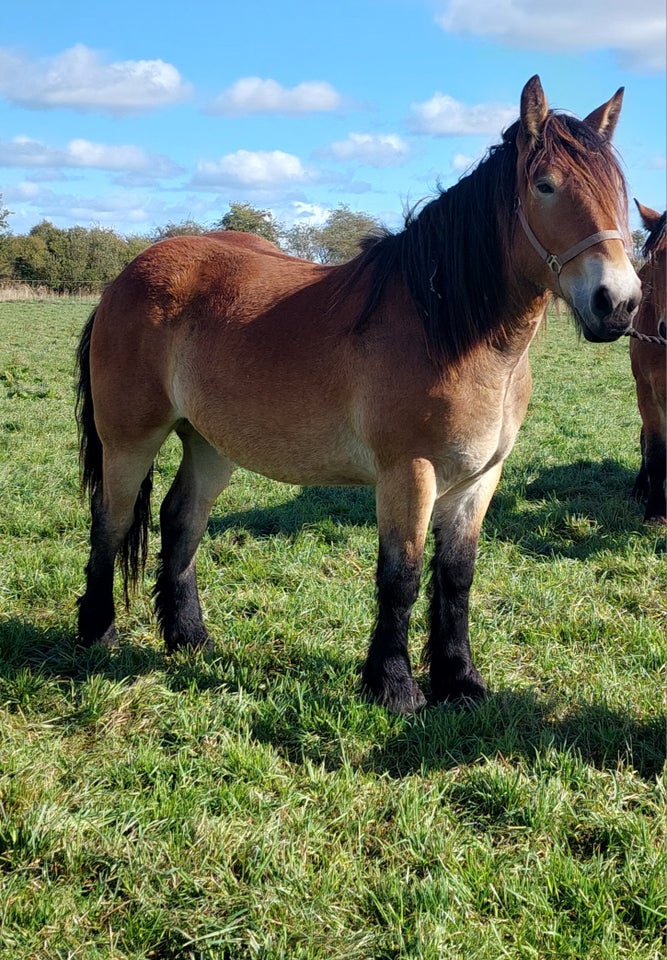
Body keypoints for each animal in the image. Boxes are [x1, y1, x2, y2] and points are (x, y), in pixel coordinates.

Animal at [77, 77, 640, 712]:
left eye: (620, 193)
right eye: (545, 185)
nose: (618, 303)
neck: (445, 328)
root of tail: (124, 278)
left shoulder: (480, 479)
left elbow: (456, 576)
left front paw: (460, 681)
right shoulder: (408, 474)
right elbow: (401, 576)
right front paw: (394, 685)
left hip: (209, 443)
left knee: (181, 521)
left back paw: (189, 637)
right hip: (130, 441)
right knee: (111, 521)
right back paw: (99, 632)